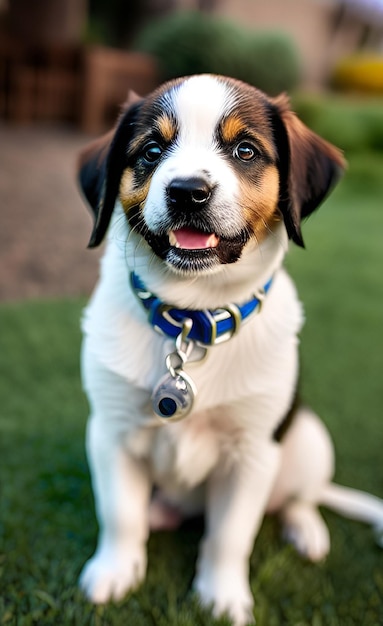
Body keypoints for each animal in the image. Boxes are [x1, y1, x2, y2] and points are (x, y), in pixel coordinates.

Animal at [77, 74, 383, 624]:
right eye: (151, 151)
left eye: (245, 149)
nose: (187, 192)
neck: (192, 318)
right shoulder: (110, 431)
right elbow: (119, 515)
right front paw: (114, 571)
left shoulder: (253, 453)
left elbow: (230, 535)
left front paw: (220, 596)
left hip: (308, 438)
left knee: (299, 497)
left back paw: (307, 530)